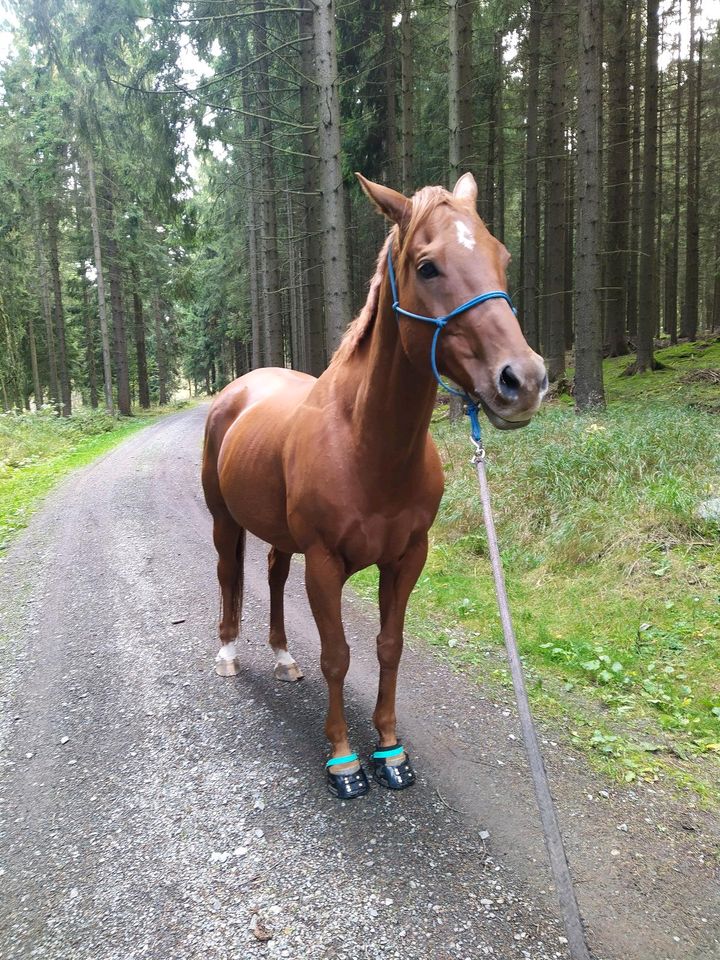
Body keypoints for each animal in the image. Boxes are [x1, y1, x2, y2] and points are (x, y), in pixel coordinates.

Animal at [200, 171, 544, 796]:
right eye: (428, 266)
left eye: (501, 256)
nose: (524, 380)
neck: (365, 446)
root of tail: (239, 388)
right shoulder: (324, 562)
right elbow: (338, 654)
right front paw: (344, 760)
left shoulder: (407, 558)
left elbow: (389, 648)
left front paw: (389, 749)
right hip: (224, 522)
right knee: (229, 574)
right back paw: (229, 653)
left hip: (282, 539)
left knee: (273, 575)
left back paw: (283, 659)